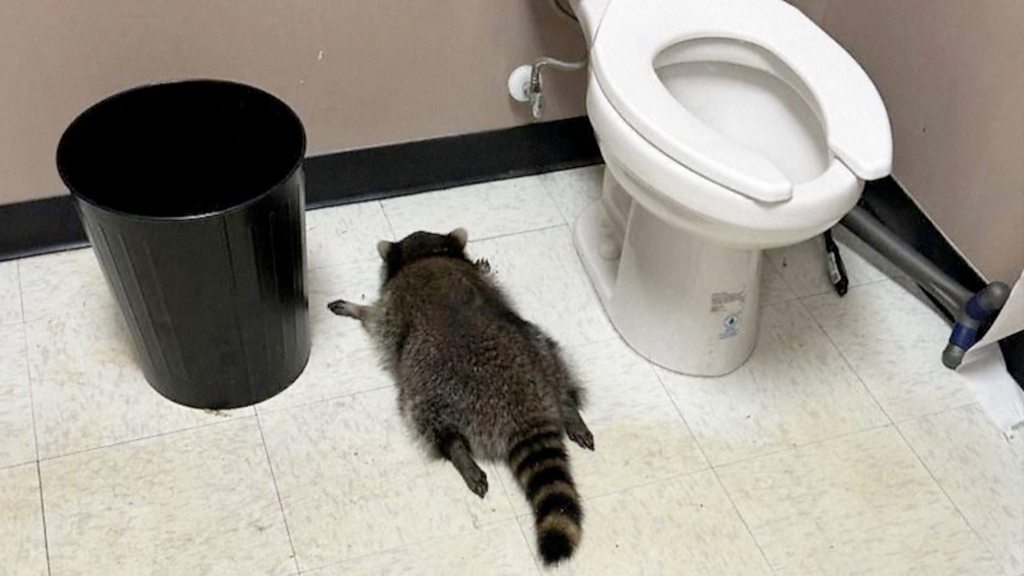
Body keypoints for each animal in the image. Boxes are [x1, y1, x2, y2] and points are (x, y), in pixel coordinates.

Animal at [327, 228, 594, 565]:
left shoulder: (392, 307)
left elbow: (375, 318)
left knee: (427, 419)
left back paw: (457, 451)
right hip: (539, 348)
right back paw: (568, 407)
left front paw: (356, 308)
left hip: (432, 388)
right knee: (555, 362)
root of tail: (524, 407)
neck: (427, 255)